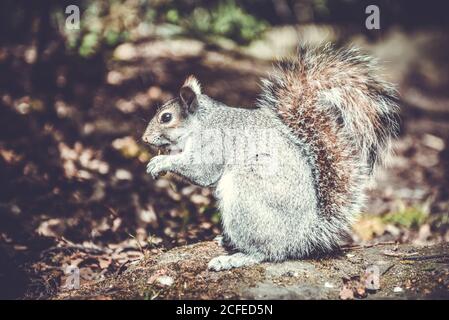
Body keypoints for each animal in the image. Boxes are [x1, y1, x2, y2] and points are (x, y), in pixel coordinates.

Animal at [142, 43, 398, 272]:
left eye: (166, 117)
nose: (145, 138)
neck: (202, 122)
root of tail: (301, 237)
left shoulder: (213, 142)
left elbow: (201, 170)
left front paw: (161, 162)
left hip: (247, 194)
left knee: (266, 252)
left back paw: (234, 258)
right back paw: (227, 242)